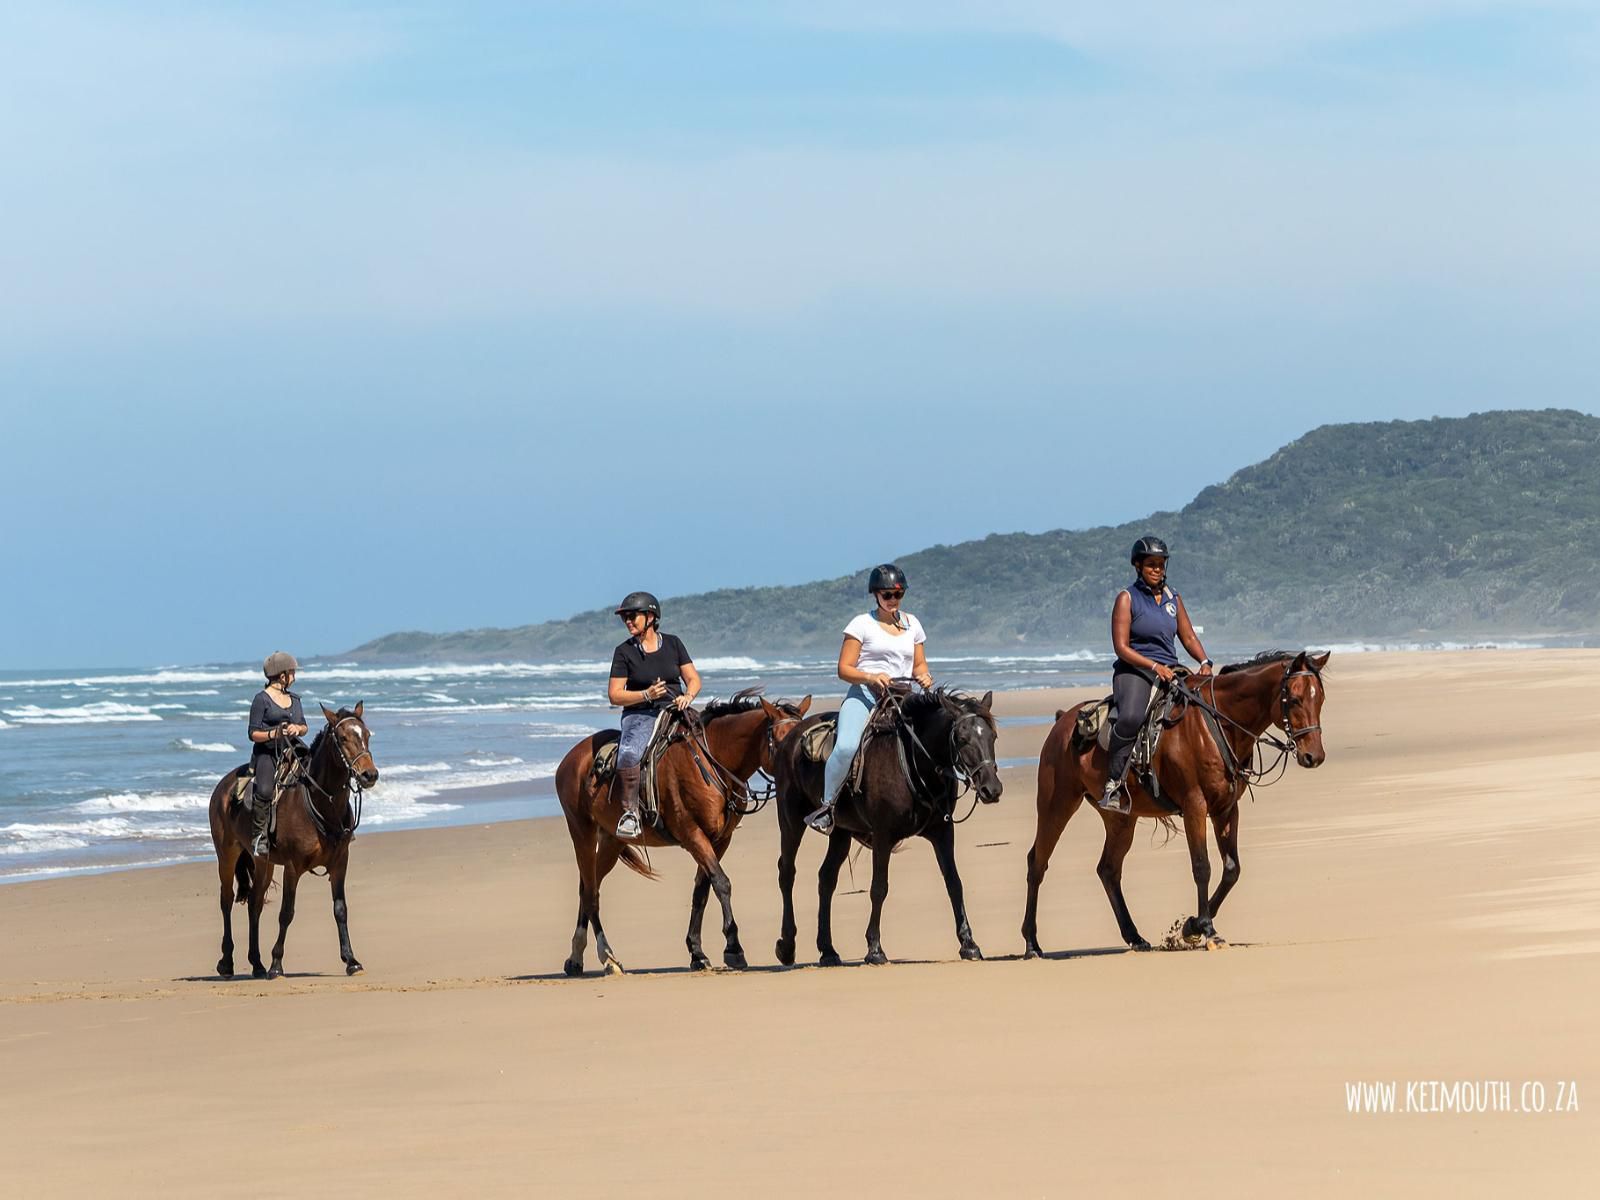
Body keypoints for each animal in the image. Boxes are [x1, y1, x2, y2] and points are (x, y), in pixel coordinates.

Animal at [206, 704, 380, 985]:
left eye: (366, 735)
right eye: (343, 738)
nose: (369, 775)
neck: (322, 802)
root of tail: (223, 785)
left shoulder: (340, 863)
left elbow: (340, 909)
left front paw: (351, 961)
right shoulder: (292, 867)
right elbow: (286, 913)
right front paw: (277, 965)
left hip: (262, 862)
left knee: (254, 904)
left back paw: (257, 964)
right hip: (227, 855)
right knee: (226, 900)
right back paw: (227, 962)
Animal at [560, 694, 812, 979]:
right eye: (780, 740)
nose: (796, 776)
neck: (712, 762)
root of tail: (571, 758)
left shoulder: (719, 840)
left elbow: (702, 890)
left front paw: (697, 952)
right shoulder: (692, 834)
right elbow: (721, 883)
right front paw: (733, 948)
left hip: (612, 841)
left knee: (588, 887)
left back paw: (576, 958)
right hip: (581, 832)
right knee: (591, 893)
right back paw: (608, 957)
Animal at [771, 684, 998, 966]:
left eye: (993, 737)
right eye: (963, 739)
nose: (992, 789)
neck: (914, 762)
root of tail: (790, 737)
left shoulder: (943, 832)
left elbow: (954, 883)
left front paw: (969, 943)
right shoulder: (882, 836)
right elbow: (879, 887)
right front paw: (875, 948)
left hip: (841, 832)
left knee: (826, 878)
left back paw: (828, 950)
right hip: (791, 820)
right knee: (787, 872)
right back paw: (787, 945)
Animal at [1017, 652, 1331, 953]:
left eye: (1321, 699)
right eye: (1295, 699)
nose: (1314, 756)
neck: (1218, 724)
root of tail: (1062, 721)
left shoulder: (1226, 808)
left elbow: (1232, 869)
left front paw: (1191, 926)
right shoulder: (1195, 805)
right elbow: (1202, 866)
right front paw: (1207, 930)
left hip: (1120, 819)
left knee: (1108, 869)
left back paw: (1134, 937)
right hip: (1057, 805)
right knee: (1037, 863)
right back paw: (1032, 942)